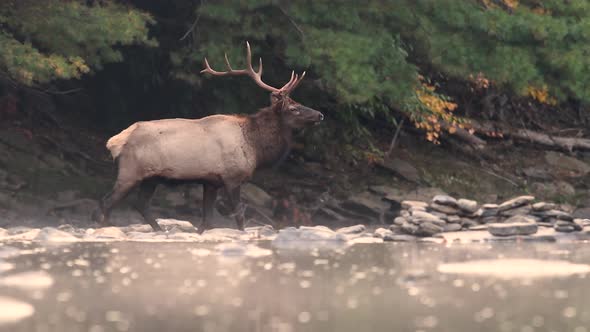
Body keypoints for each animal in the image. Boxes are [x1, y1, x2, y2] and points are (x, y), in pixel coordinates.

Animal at [93, 42, 324, 231]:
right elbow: (239, 216)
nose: (320, 114)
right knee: (107, 201)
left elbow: (206, 221)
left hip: (151, 178)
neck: (255, 147)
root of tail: (114, 142)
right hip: (130, 171)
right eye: (293, 108)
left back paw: (159, 230)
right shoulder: (232, 178)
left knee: (140, 204)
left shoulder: (211, 182)